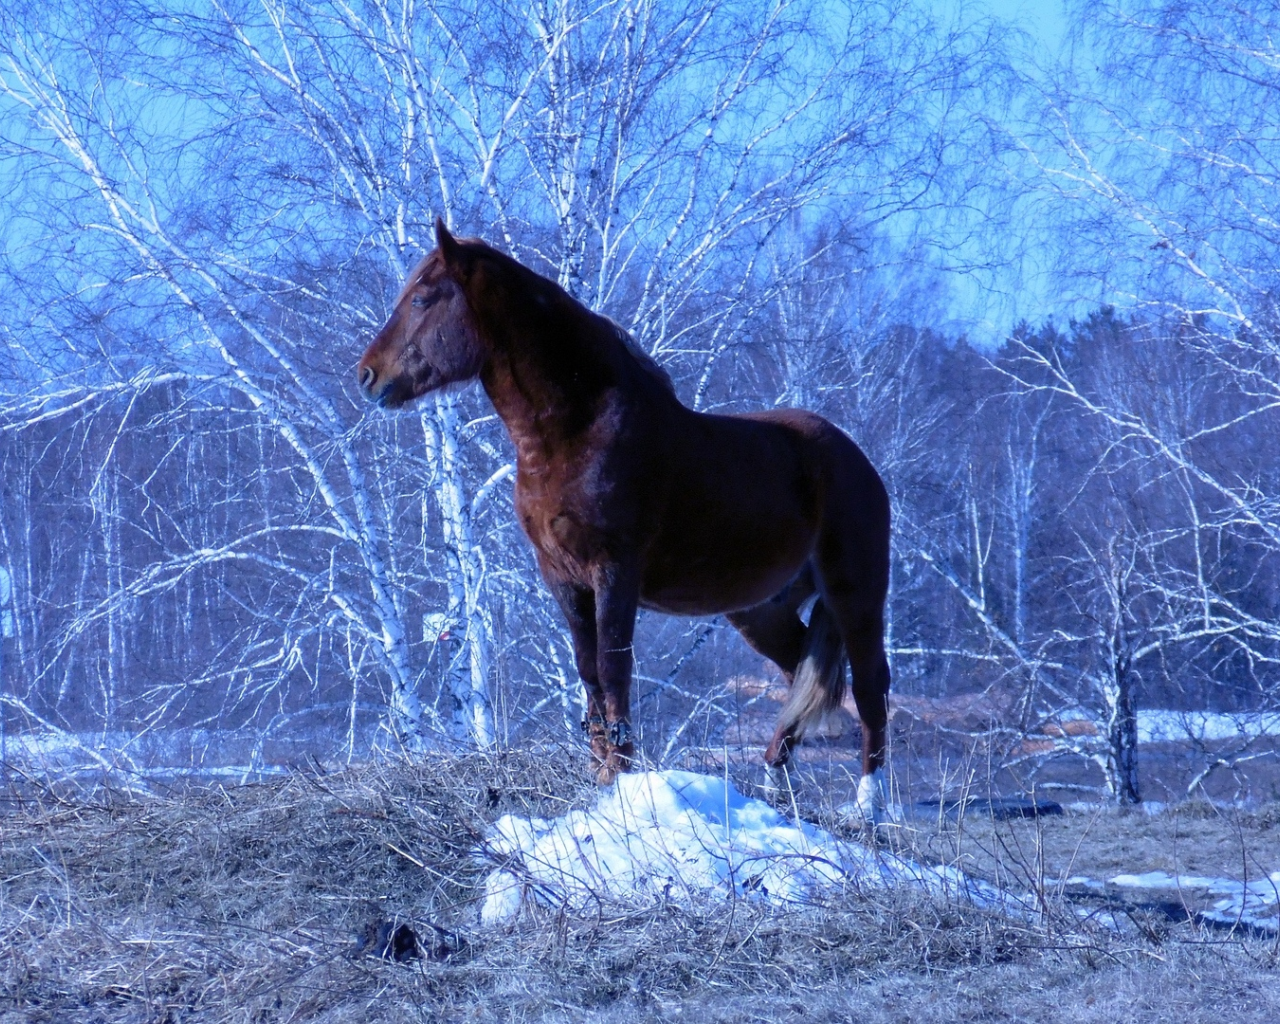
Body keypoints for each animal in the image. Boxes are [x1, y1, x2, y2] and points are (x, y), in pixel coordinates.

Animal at [355, 217, 896, 824]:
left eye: (423, 298)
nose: (367, 376)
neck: (578, 433)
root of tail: (855, 459)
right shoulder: (562, 579)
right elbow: (589, 675)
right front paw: (598, 777)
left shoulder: (614, 573)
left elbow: (614, 673)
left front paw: (619, 779)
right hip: (761, 610)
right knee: (800, 672)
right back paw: (778, 789)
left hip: (855, 592)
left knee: (870, 686)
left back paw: (869, 806)